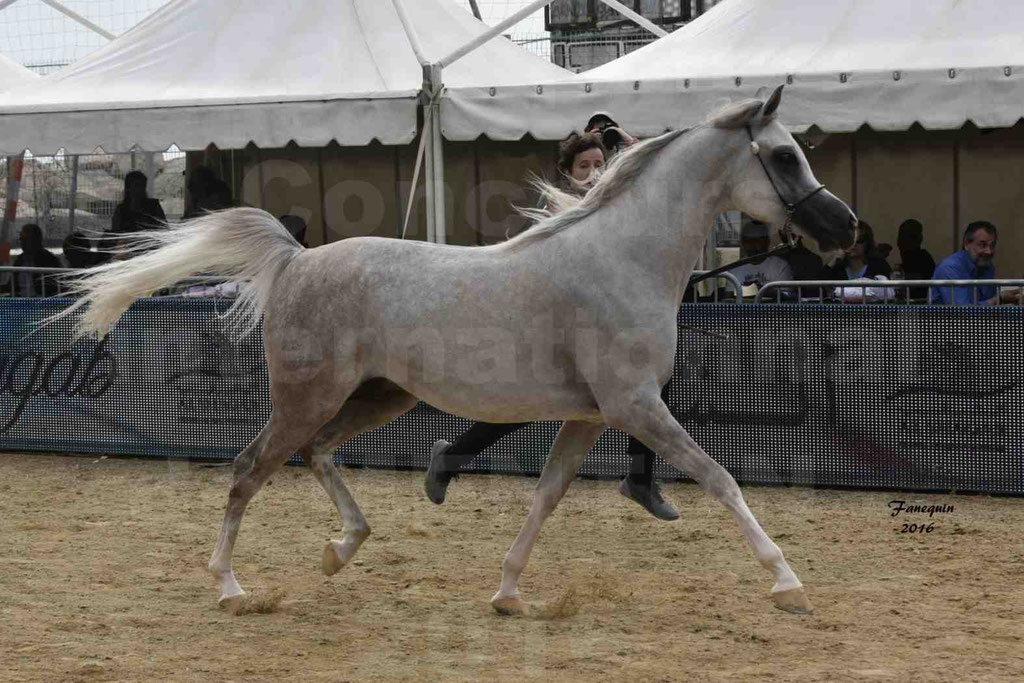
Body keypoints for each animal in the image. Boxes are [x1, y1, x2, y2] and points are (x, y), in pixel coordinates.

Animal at [56, 85, 856, 614]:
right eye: (785, 156)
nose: (843, 226)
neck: (623, 256)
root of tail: (295, 259)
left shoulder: (591, 416)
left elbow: (546, 496)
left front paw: (507, 592)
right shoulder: (635, 407)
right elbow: (720, 478)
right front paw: (787, 582)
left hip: (379, 395)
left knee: (319, 454)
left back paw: (342, 548)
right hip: (308, 396)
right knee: (251, 468)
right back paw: (231, 586)